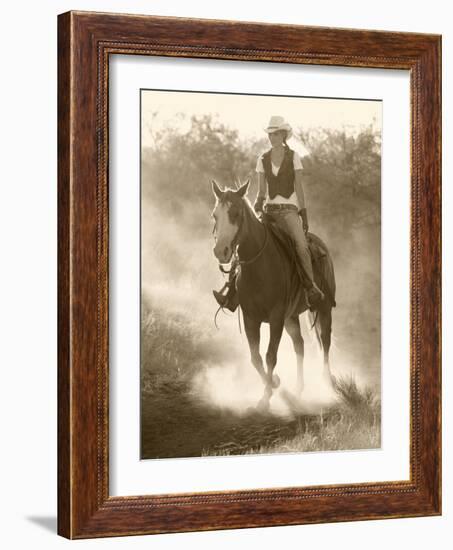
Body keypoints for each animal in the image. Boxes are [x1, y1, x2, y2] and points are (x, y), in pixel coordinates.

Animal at [210, 179, 334, 412]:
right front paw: (273, 384)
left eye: (236, 213)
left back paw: (327, 382)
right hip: (291, 317)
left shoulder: (276, 318)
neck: (261, 265)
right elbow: (255, 358)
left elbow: (270, 356)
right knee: (299, 345)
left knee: (325, 341)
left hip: (324, 308)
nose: (221, 251)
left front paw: (267, 396)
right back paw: (298, 389)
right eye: (215, 215)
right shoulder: (251, 318)